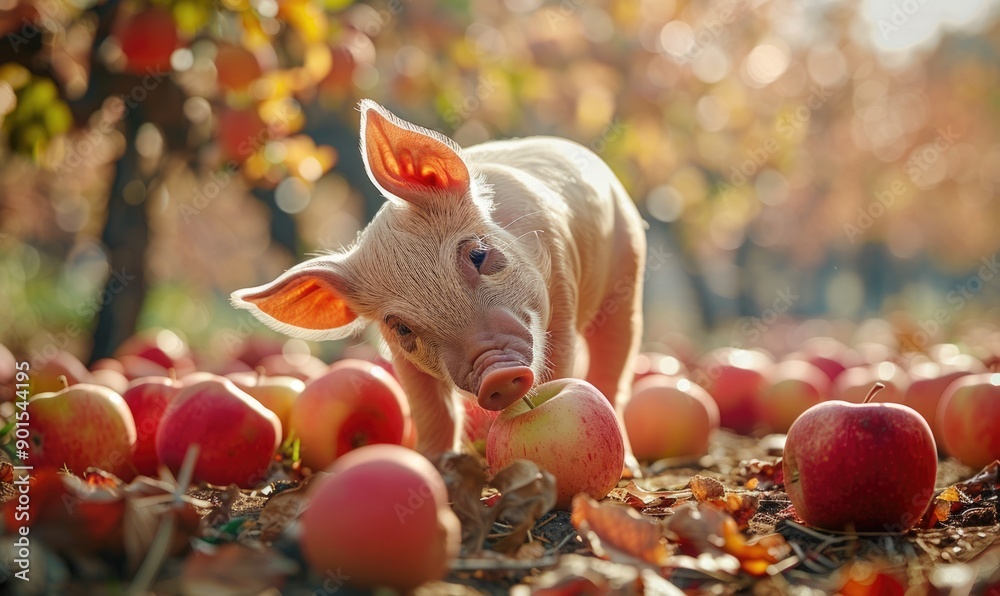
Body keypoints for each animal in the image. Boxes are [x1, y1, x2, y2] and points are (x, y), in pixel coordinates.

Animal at [231, 100, 646, 466]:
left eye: (478, 255)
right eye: (400, 326)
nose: (496, 373)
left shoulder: (561, 293)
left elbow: (558, 369)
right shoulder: (403, 361)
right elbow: (431, 409)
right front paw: (434, 468)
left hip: (628, 271)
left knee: (614, 363)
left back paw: (629, 466)